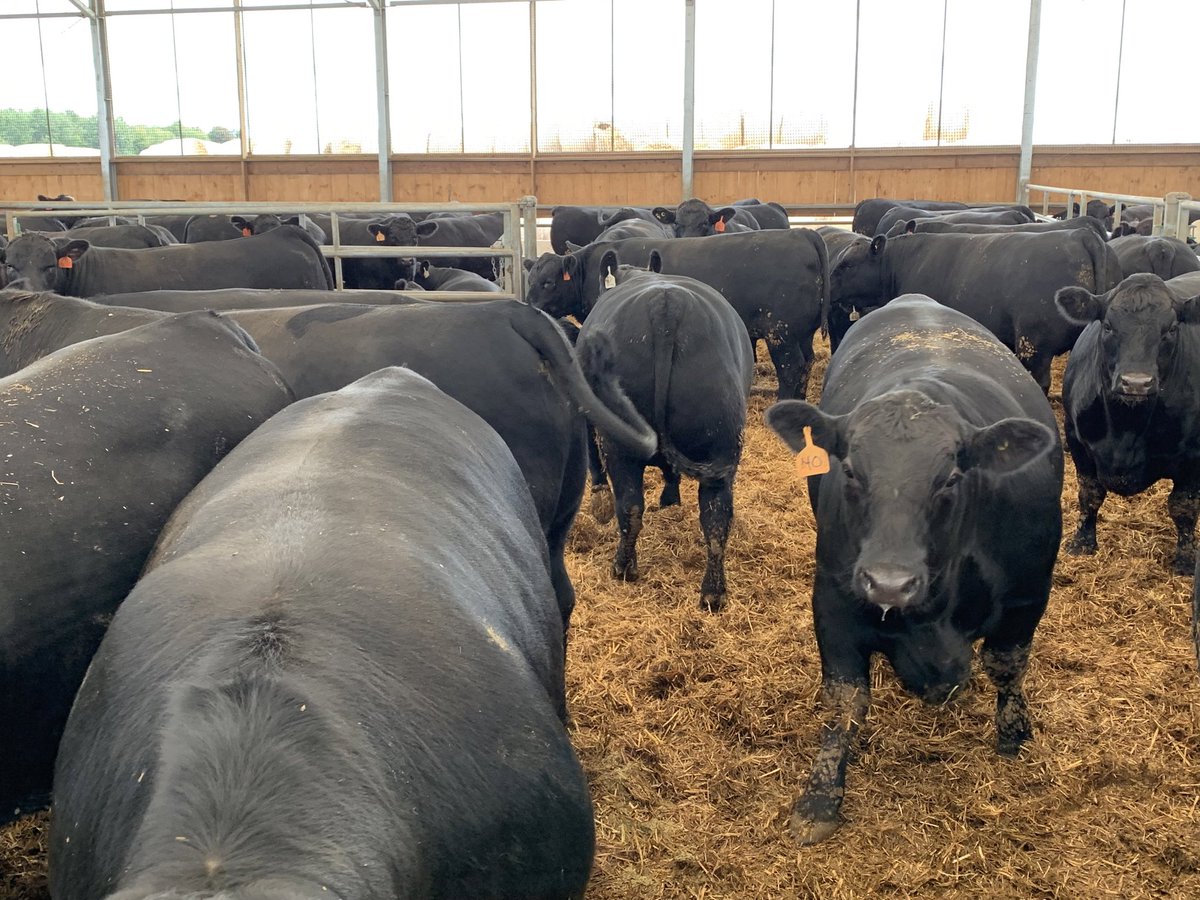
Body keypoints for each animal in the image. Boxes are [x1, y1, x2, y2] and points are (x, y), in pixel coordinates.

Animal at [525, 228, 828, 400]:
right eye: (530, 279)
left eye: (548, 282)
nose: (528, 305)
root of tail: (804, 233)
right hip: (801, 333)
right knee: (807, 363)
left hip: (781, 333)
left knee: (791, 368)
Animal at [577, 253, 753, 611]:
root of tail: (665, 304)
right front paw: (671, 500)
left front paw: (599, 504)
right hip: (722, 443)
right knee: (717, 514)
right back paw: (713, 593)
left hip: (618, 443)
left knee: (630, 505)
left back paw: (623, 567)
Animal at [765, 293, 1062, 844]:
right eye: (850, 471)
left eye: (950, 479)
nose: (889, 583)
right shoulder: (832, 600)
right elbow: (844, 701)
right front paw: (819, 800)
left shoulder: (1028, 594)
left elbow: (1006, 665)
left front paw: (1014, 734)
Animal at [1056, 273, 1200, 574]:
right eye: (1108, 326)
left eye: (1171, 329)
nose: (1136, 383)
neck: (1126, 427)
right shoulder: (1076, 440)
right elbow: (1090, 494)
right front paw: (1082, 544)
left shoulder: (1194, 456)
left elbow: (1184, 507)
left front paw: (1185, 561)